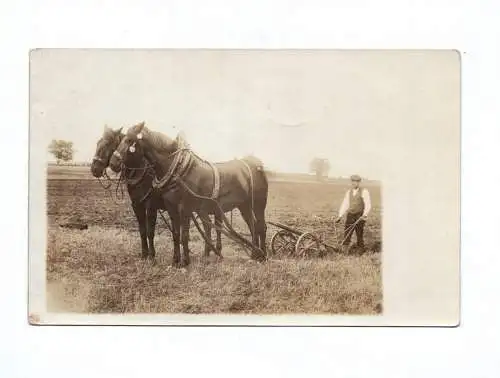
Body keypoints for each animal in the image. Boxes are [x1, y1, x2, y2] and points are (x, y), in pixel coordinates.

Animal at [107, 122, 268, 268]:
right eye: (121, 139)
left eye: (129, 140)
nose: (113, 164)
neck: (177, 169)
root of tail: (256, 163)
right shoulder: (170, 208)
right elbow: (175, 234)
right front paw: (175, 261)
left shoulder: (182, 208)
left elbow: (183, 235)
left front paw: (185, 261)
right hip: (243, 206)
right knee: (251, 226)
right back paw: (252, 254)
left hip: (258, 204)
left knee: (260, 226)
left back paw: (263, 255)